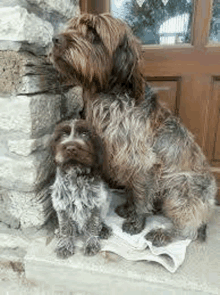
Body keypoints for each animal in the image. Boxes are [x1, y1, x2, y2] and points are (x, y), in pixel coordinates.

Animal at [50, 118, 111, 260]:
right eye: (63, 135)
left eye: (85, 134)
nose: (71, 148)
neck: (75, 175)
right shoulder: (62, 205)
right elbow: (66, 227)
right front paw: (65, 245)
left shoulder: (96, 203)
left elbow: (93, 224)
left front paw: (91, 243)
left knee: (101, 220)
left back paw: (103, 229)